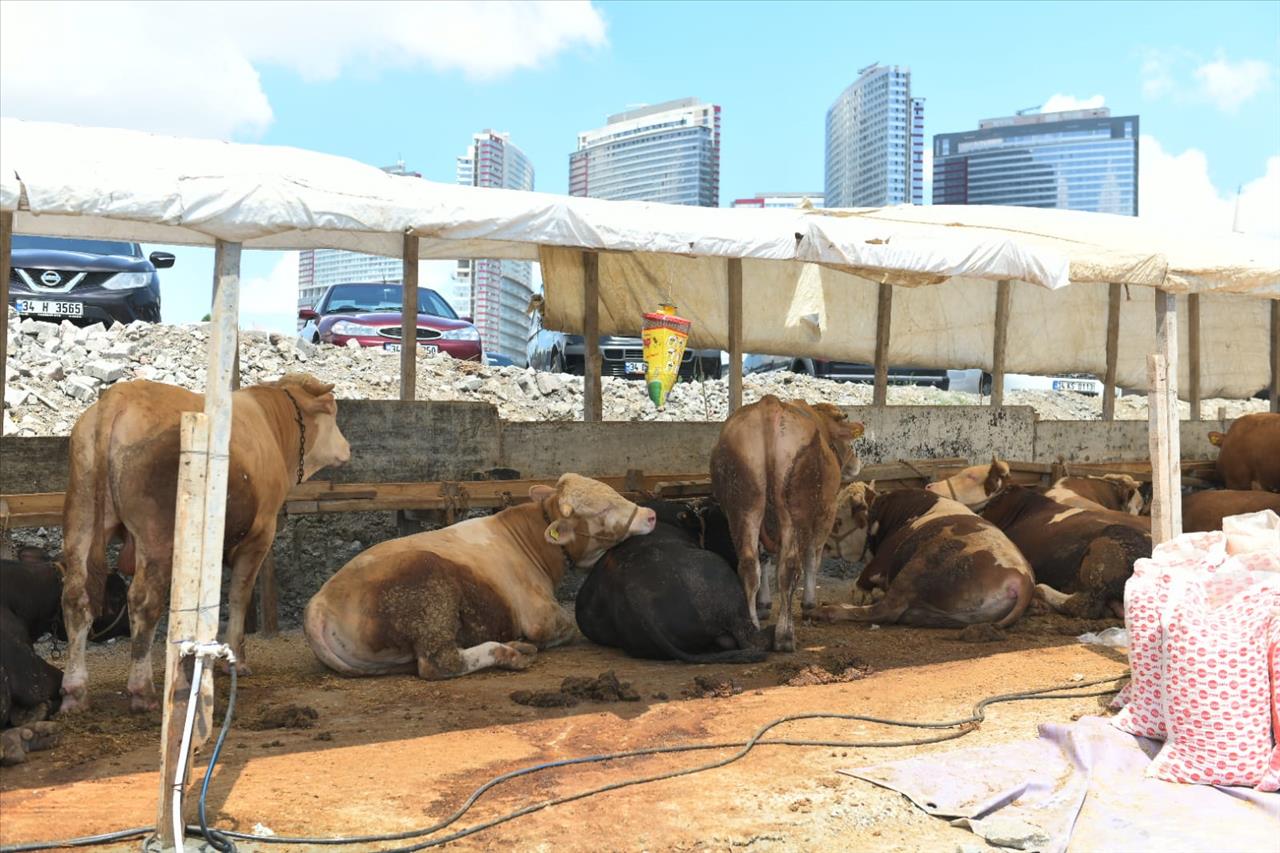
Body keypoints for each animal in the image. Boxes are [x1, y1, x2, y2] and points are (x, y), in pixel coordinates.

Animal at [60, 373, 350, 712]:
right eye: (332, 411)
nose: (347, 447)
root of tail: (118, 397)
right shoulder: (260, 535)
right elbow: (238, 596)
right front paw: (236, 660)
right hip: (157, 537)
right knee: (144, 602)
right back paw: (143, 690)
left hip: (81, 520)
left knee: (76, 598)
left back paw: (75, 691)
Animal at [303, 471, 655, 676]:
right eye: (602, 510)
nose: (650, 514)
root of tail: (319, 602)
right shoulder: (540, 617)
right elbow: (565, 628)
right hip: (428, 595)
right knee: (440, 662)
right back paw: (511, 652)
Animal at [711, 394, 860, 650]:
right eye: (847, 442)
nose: (856, 463)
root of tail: (769, 406)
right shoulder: (825, 513)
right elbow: (812, 557)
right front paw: (809, 604)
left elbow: (766, 560)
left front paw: (764, 605)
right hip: (795, 511)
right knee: (790, 566)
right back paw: (785, 636)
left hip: (744, 507)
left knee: (749, 564)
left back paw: (753, 629)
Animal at [814, 481, 1034, 627]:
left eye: (837, 519)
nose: (821, 543)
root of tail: (1021, 577)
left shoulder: (881, 562)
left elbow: (864, 578)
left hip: (918, 567)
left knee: (886, 610)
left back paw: (829, 610)